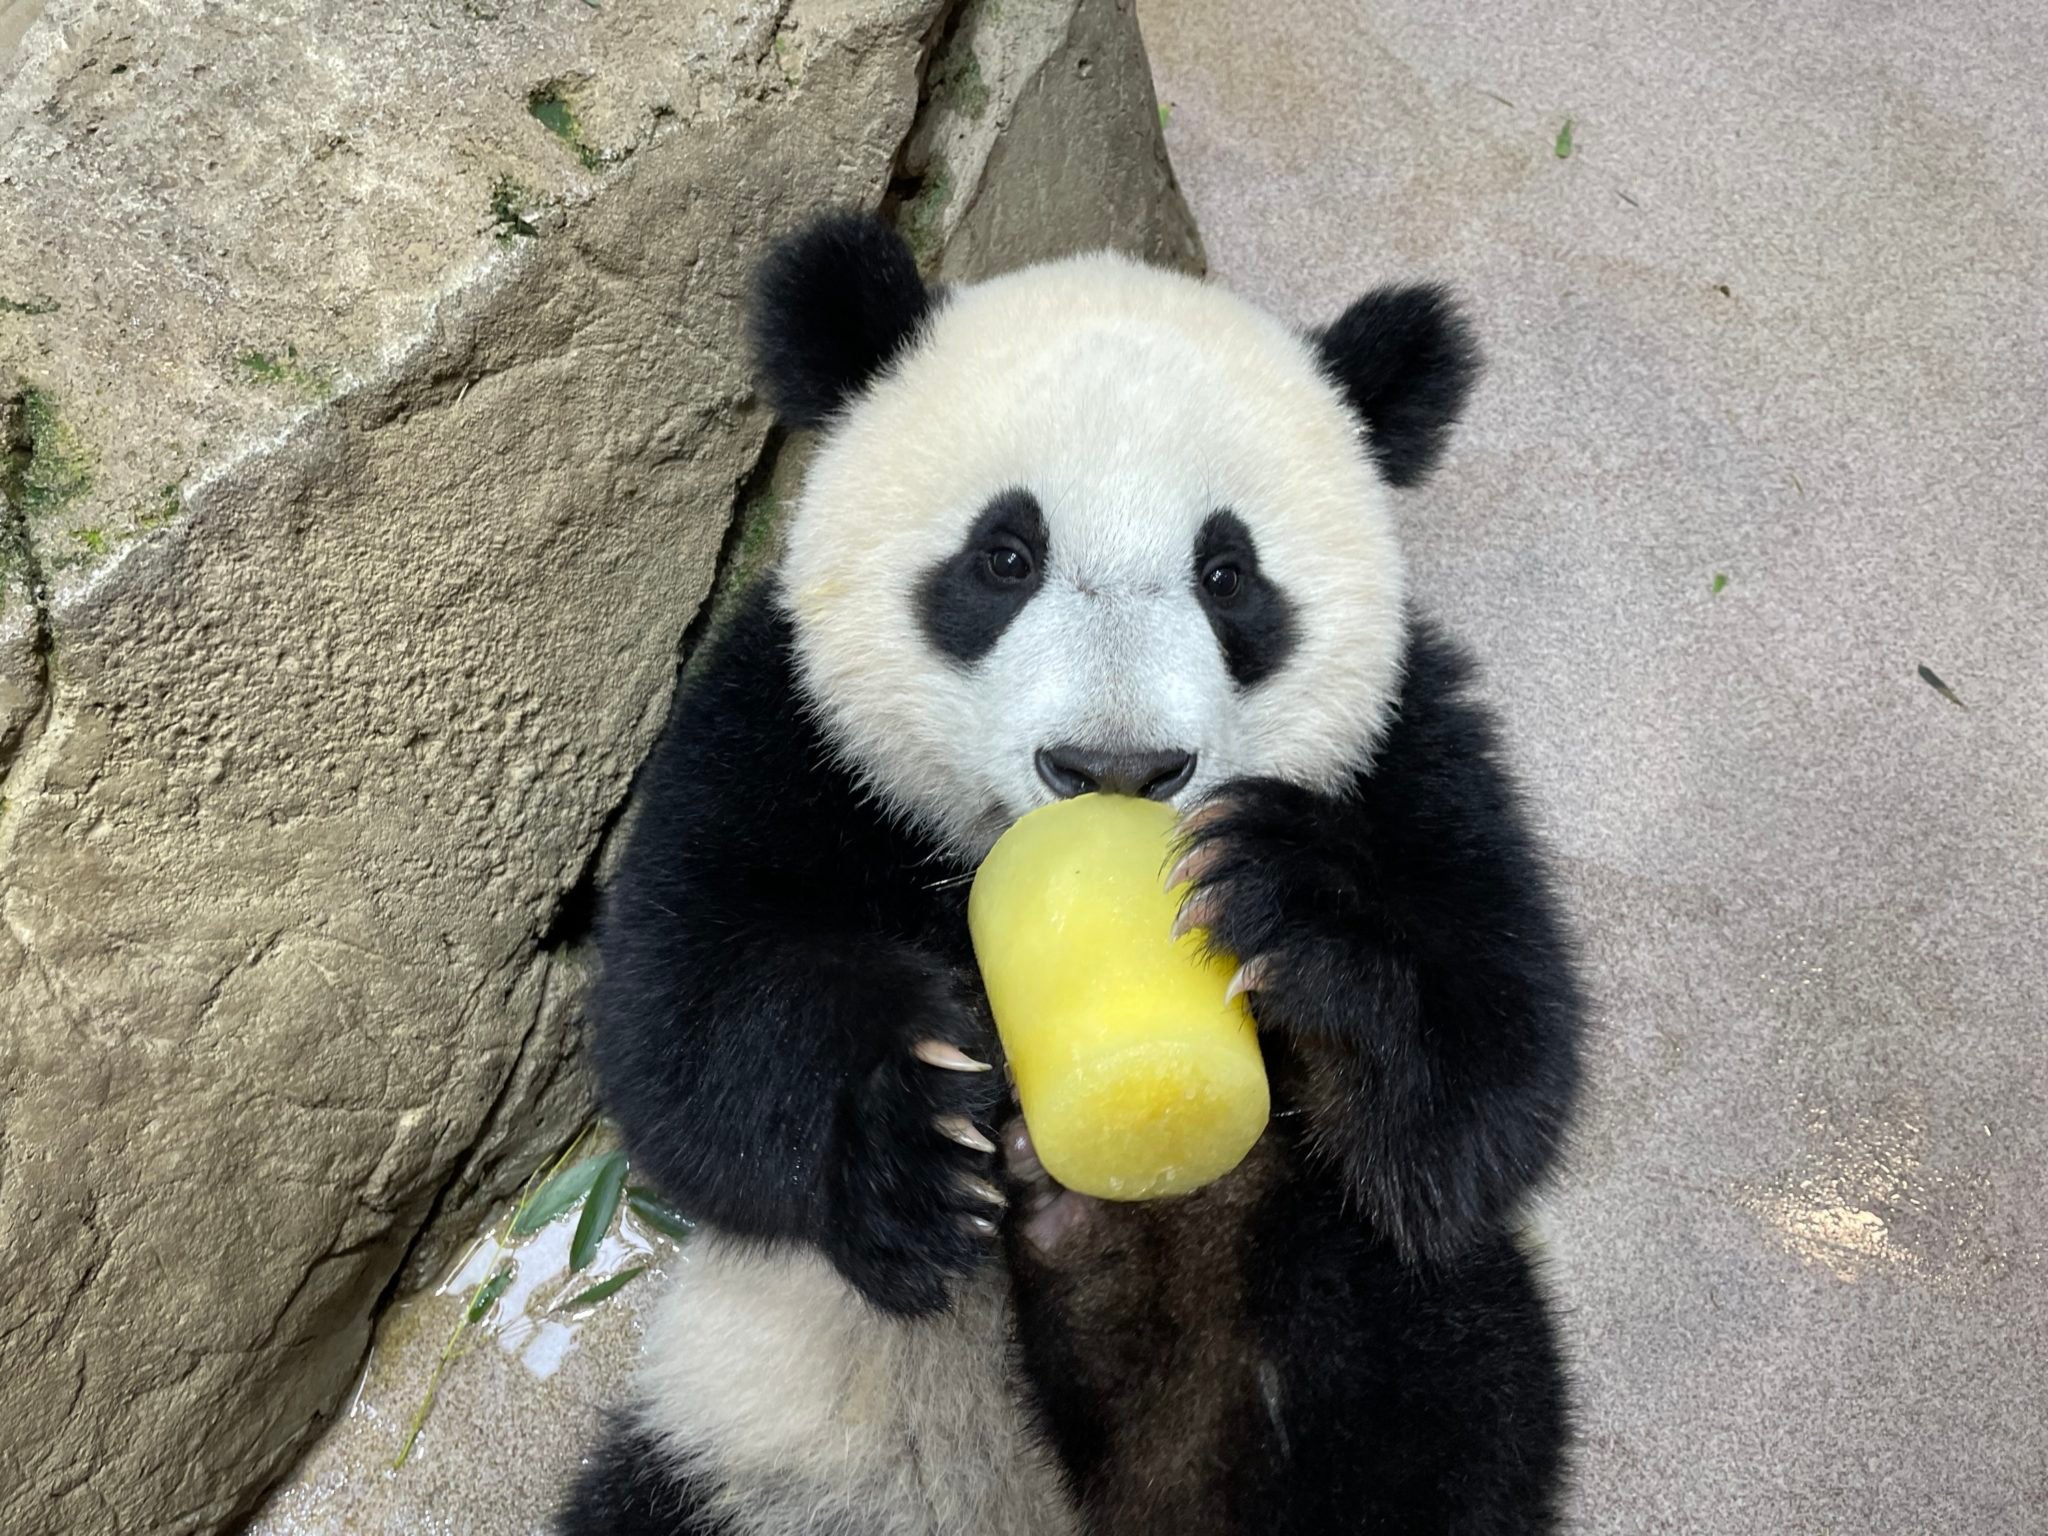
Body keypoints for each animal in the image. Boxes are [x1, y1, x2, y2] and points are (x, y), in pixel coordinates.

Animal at [561, 207, 1581, 1536]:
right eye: (1004, 557)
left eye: (1226, 576)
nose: (1114, 765)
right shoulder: (778, 731)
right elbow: (680, 1034)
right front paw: (909, 1115)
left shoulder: (1405, 752)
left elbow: (1489, 1081)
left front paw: (1291, 912)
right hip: (752, 1437)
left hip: (1359, 1322)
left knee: (1426, 1392)